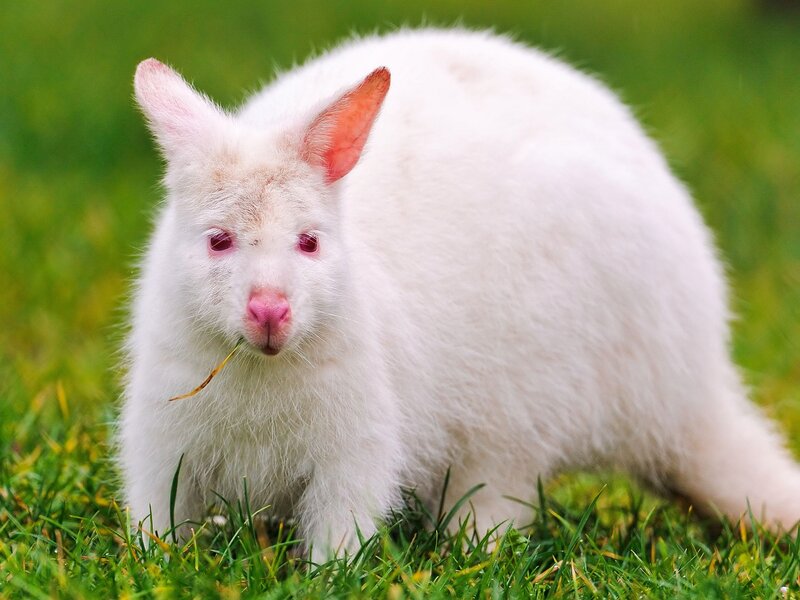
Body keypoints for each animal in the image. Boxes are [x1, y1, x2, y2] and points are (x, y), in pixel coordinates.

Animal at [120, 27, 800, 558]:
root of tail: (692, 390)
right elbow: (160, 515)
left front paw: (328, 575)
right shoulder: (158, 436)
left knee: (501, 498)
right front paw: (157, 559)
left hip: (527, 406)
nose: (270, 310)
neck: (261, 366)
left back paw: (466, 546)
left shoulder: (360, 441)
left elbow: (342, 522)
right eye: (218, 241)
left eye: (309, 242)